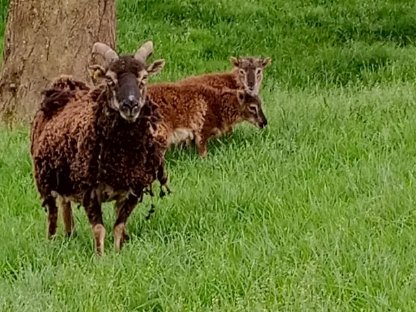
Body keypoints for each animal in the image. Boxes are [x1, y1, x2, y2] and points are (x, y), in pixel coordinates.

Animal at [30, 41, 168, 255]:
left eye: (144, 78)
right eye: (110, 80)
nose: (130, 104)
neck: (122, 155)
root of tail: (63, 86)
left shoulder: (132, 189)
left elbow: (119, 226)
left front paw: (118, 253)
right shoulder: (89, 190)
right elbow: (99, 229)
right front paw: (100, 257)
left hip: (65, 180)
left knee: (65, 204)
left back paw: (70, 236)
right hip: (44, 178)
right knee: (52, 214)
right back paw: (51, 243)